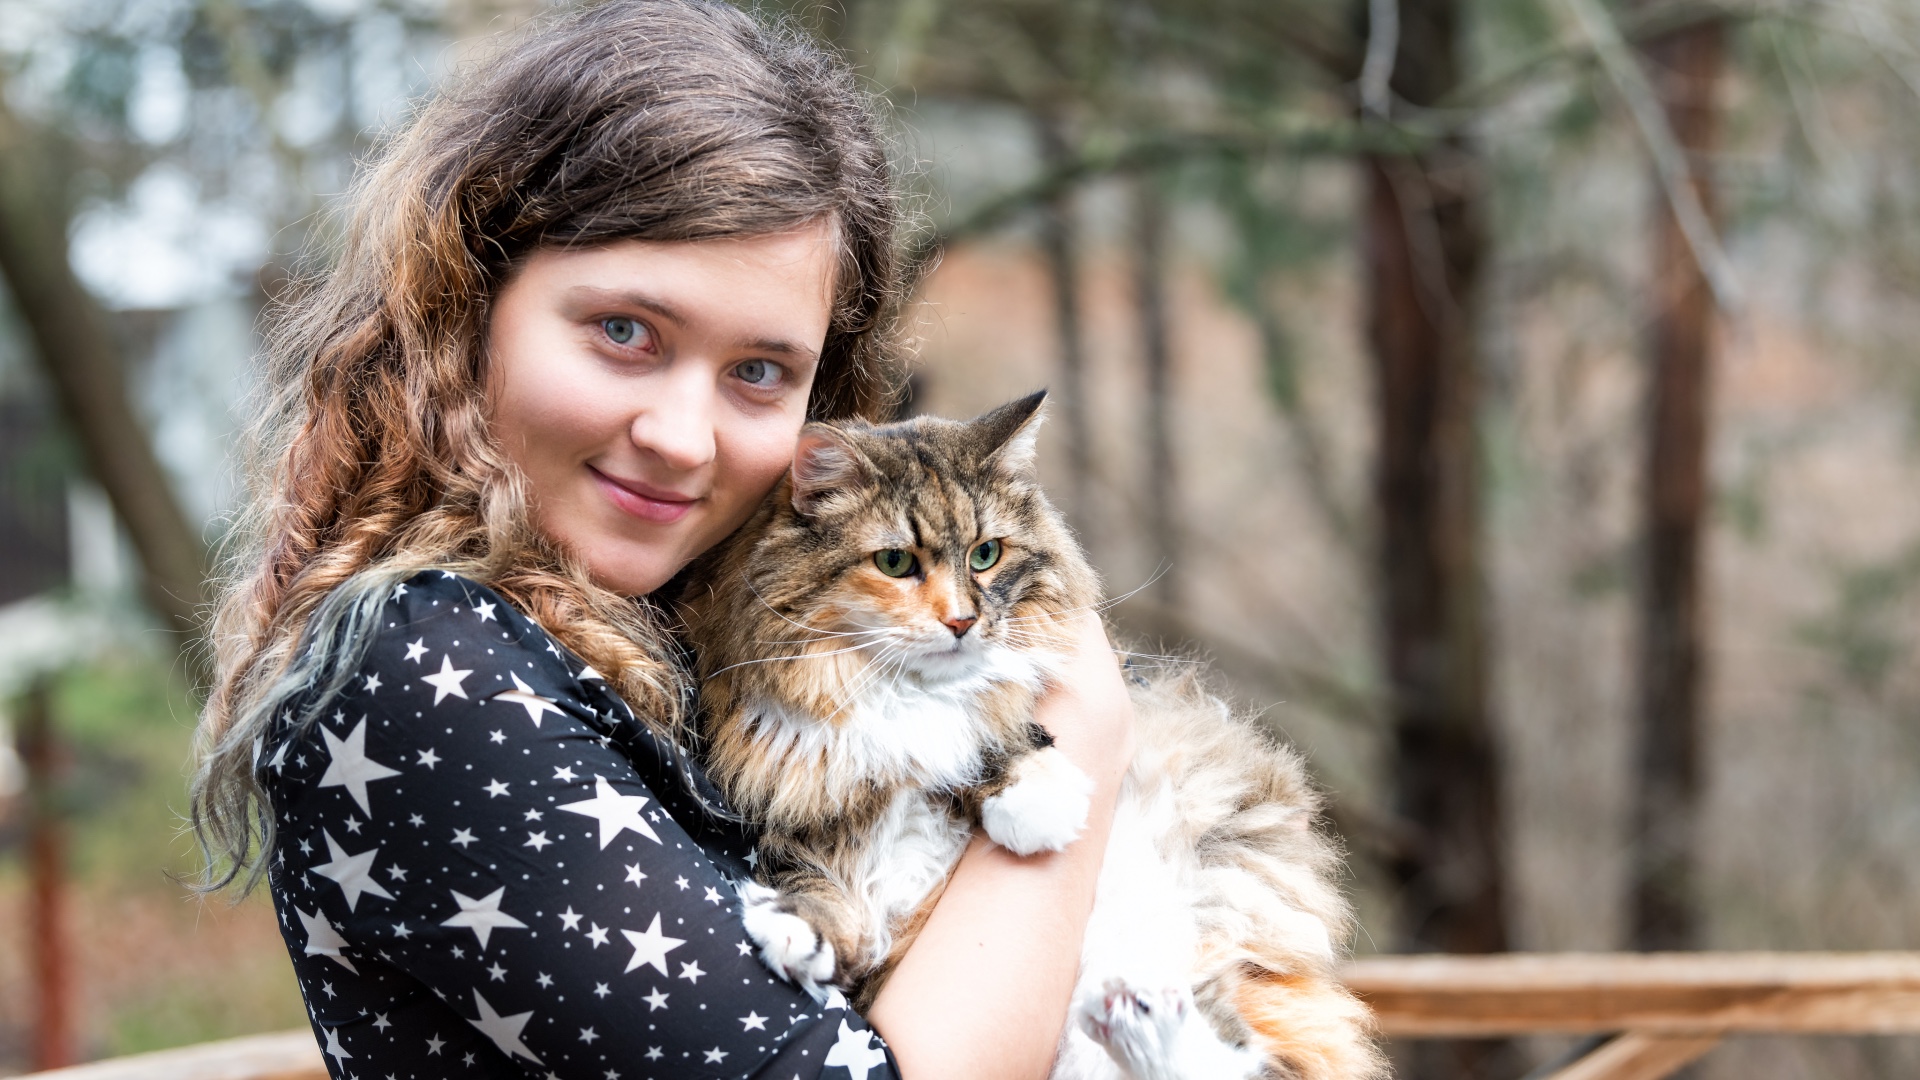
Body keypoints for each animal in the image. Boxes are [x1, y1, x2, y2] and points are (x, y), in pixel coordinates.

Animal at [683, 388, 1390, 1076]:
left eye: (985, 555)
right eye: (895, 562)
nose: (962, 622)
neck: (902, 692)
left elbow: (992, 730)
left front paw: (1033, 804)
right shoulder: (803, 807)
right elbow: (813, 881)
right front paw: (798, 931)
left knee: (1230, 1058)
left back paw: (1142, 1020)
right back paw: (1135, 1018)